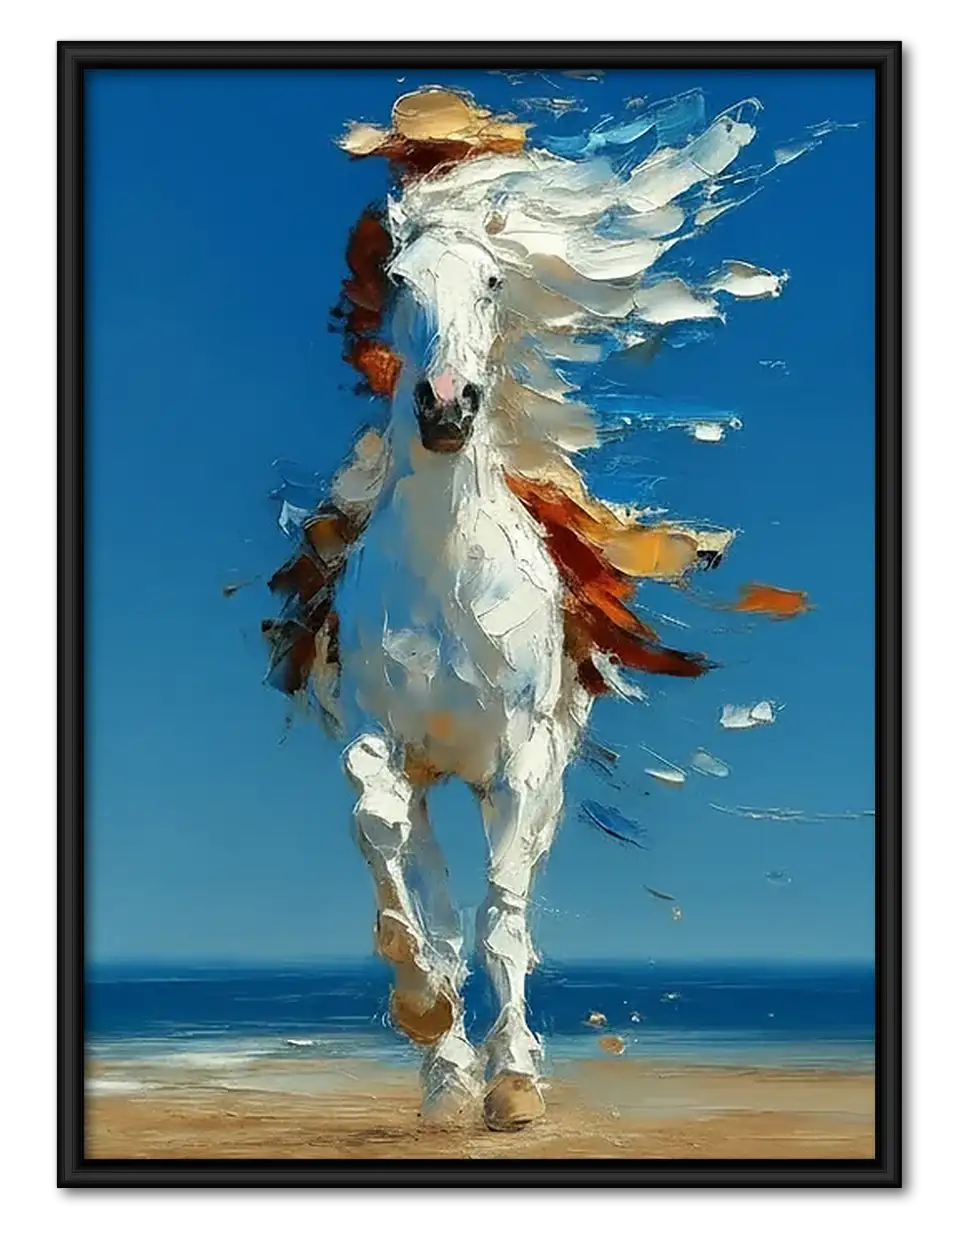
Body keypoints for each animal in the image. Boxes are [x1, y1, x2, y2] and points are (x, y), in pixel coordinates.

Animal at [262, 86, 803, 1131]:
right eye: (397, 277)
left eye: (492, 283)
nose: (445, 409)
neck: (449, 574)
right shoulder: (388, 747)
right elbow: (389, 847)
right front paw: (427, 1018)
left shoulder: (519, 760)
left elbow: (502, 920)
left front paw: (512, 1082)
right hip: (444, 781)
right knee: (432, 888)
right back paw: (446, 1073)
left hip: (534, 776)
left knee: (503, 912)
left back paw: (500, 1069)